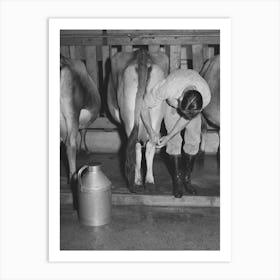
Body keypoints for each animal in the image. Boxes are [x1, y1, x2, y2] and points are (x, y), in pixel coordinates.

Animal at [107, 49, 168, 192]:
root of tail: (142, 55)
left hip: (129, 115)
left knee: (136, 147)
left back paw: (137, 181)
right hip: (156, 110)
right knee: (150, 144)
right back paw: (150, 181)